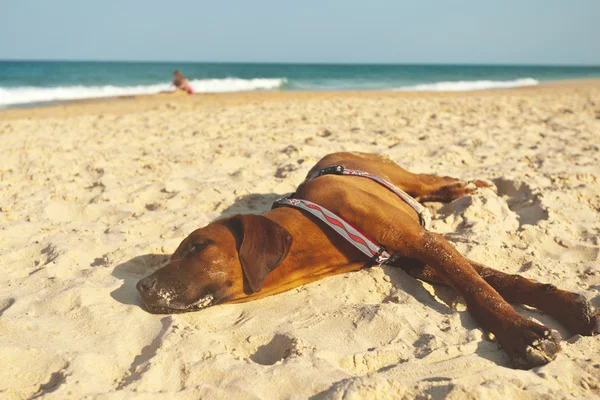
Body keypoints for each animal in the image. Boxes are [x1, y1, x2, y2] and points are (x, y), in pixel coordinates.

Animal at [138, 152, 596, 368]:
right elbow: (491, 280)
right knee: (440, 189)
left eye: (197, 246)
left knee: (437, 181)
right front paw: (565, 307)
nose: (141, 286)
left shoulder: (422, 241)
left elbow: (480, 288)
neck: (319, 224)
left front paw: (523, 334)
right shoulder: (418, 260)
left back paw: (474, 185)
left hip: (404, 177)